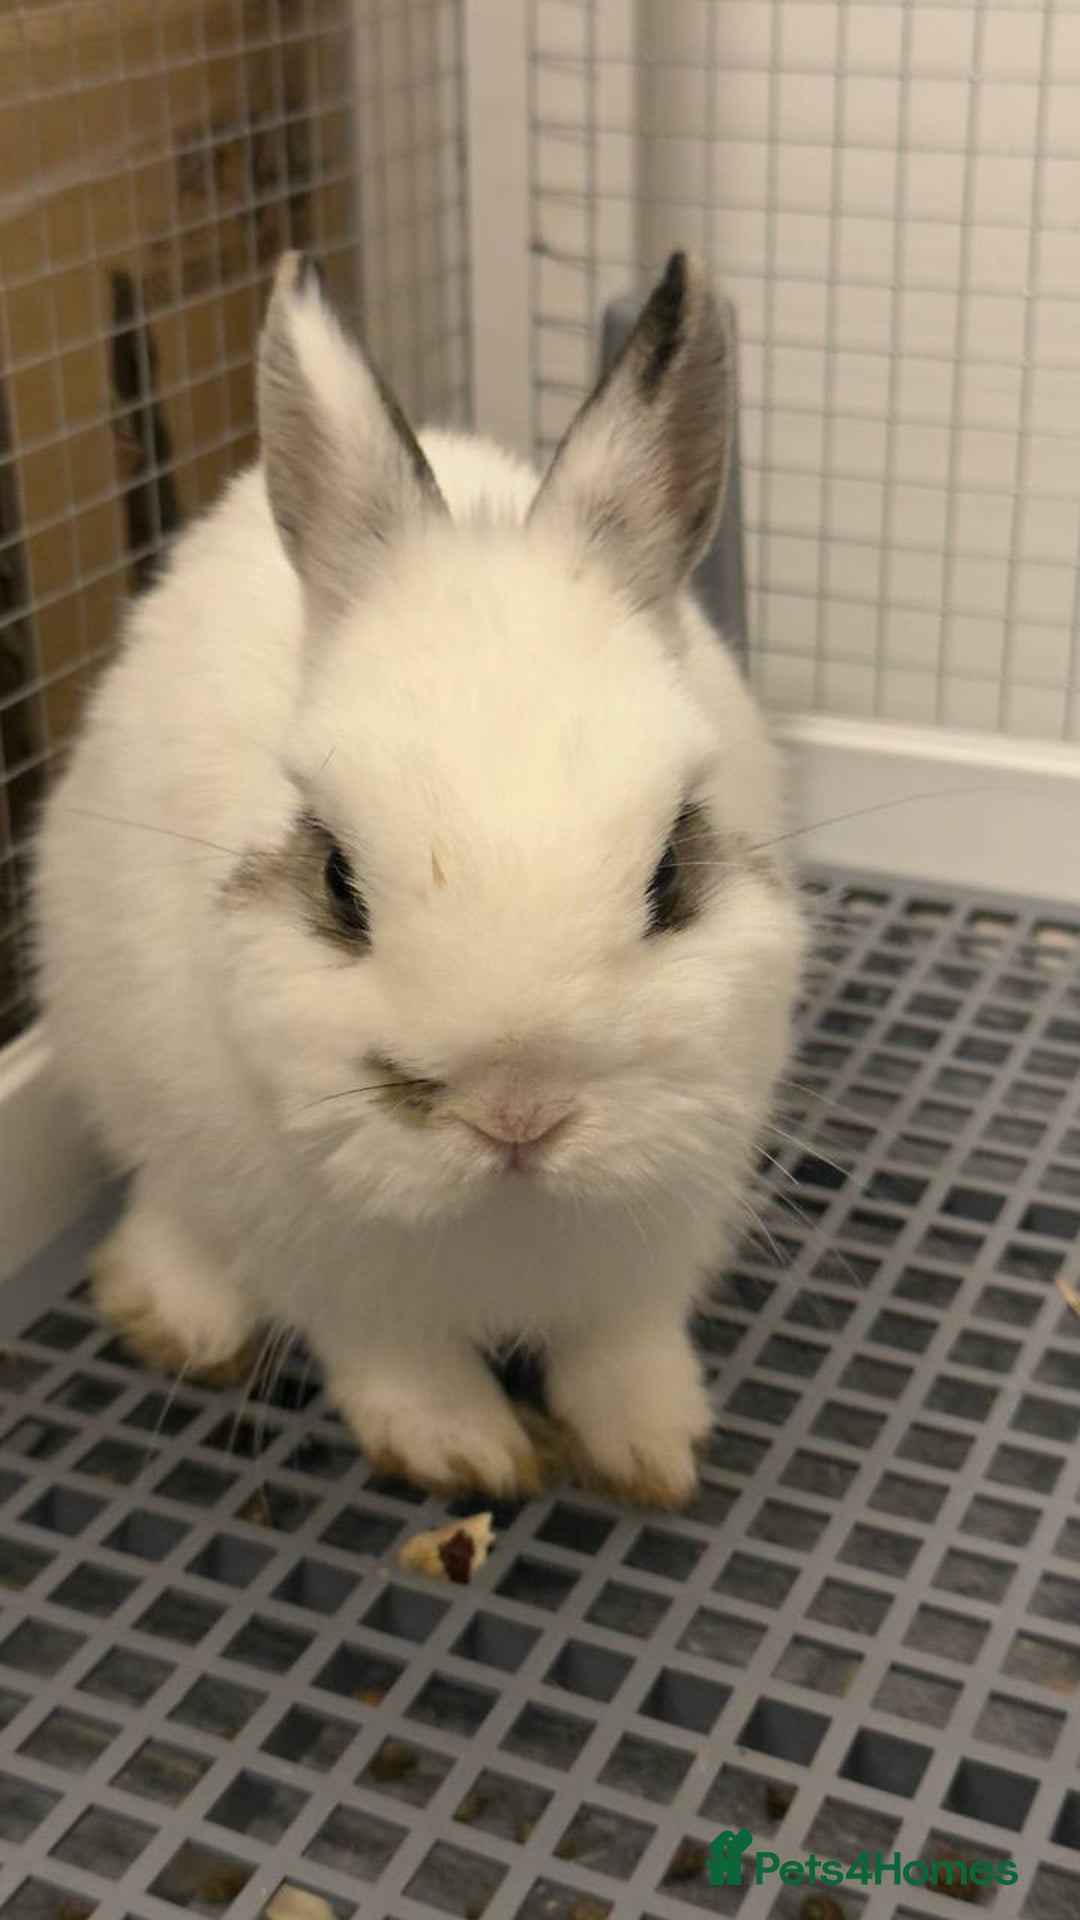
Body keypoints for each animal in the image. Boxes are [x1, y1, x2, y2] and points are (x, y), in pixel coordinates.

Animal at [35, 250, 806, 1509]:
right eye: (338, 880)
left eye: (671, 871)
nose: (517, 1112)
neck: (507, 1216)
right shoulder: (333, 1264)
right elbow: (394, 1357)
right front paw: (462, 1453)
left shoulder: (659, 1232)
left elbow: (621, 1346)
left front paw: (652, 1450)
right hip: (117, 1057)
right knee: (169, 1202)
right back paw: (184, 1319)